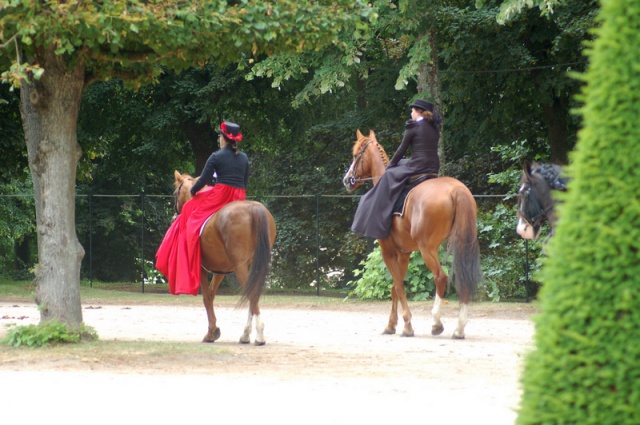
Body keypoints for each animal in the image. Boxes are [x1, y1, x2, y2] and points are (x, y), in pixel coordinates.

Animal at [174, 170, 276, 344]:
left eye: (175, 193)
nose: (175, 214)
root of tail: (254, 208)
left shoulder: (202, 268)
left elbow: (207, 298)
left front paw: (211, 332)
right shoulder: (220, 270)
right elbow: (212, 294)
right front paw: (213, 330)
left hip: (241, 267)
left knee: (251, 293)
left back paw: (258, 335)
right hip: (254, 265)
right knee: (253, 293)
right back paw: (246, 335)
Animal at [344, 129, 480, 338]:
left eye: (355, 155)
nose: (347, 180)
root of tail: (457, 189)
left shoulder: (388, 252)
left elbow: (399, 286)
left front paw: (407, 325)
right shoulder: (404, 253)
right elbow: (395, 287)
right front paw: (391, 325)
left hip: (427, 249)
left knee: (440, 277)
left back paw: (436, 322)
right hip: (461, 244)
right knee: (462, 278)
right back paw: (459, 328)